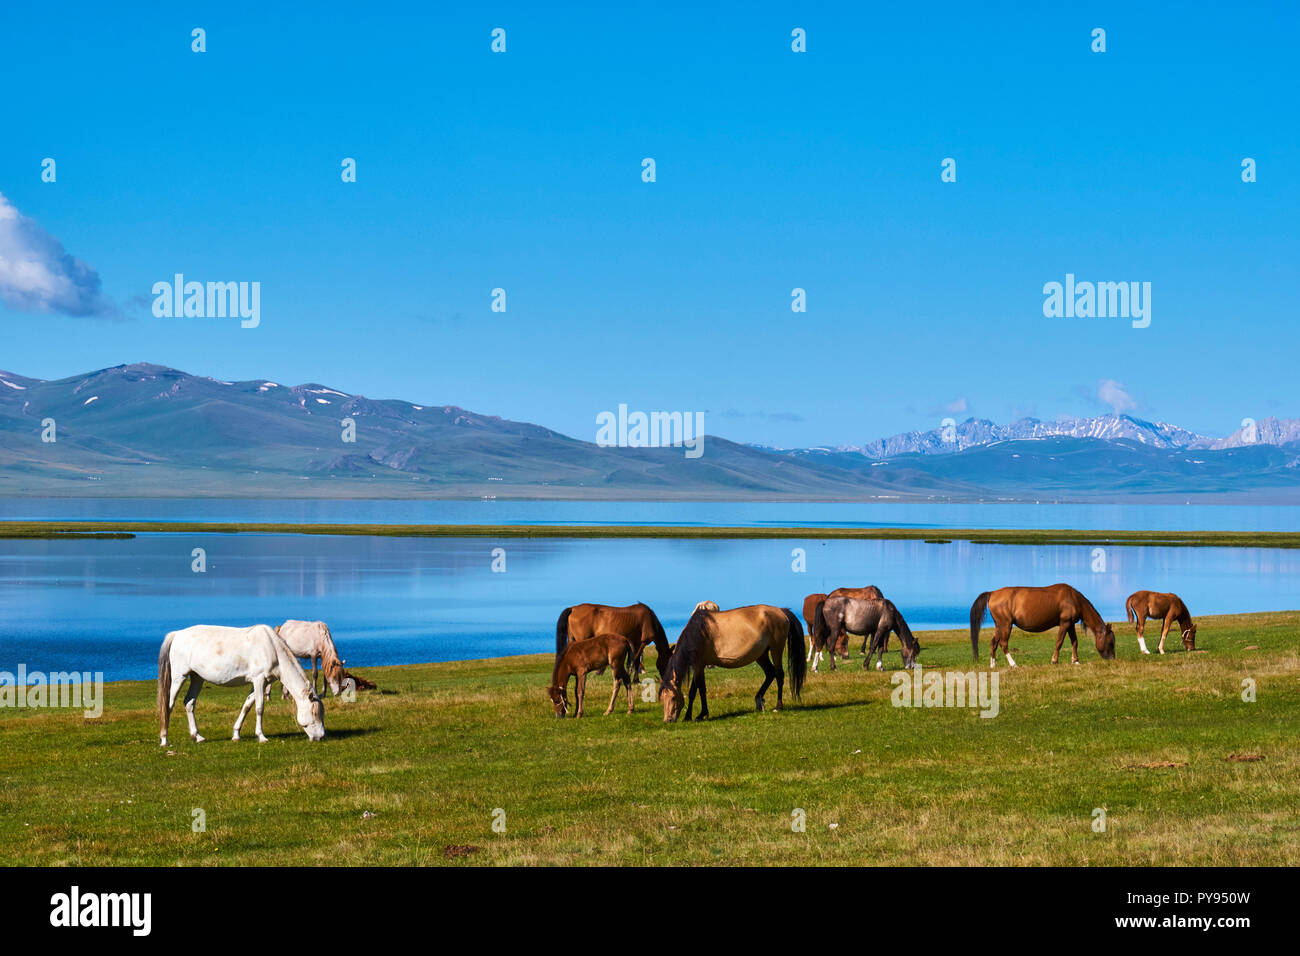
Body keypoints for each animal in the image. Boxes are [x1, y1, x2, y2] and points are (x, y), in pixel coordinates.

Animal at [156, 624, 325, 749]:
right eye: (315, 714)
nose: (321, 737)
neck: (271, 648)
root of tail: (177, 634)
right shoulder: (259, 680)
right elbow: (259, 707)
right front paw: (261, 736)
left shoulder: (262, 682)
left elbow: (247, 705)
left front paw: (236, 734)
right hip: (179, 677)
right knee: (168, 705)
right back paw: (164, 739)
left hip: (197, 678)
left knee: (189, 703)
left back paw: (197, 736)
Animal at [660, 606, 800, 723]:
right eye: (662, 698)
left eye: (673, 698)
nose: (667, 720)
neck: (697, 632)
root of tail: (781, 611)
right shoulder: (700, 665)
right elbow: (697, 690)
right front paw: (694, 715)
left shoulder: (699, 665)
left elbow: (697, 691)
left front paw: (697, 715)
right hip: (761, 655)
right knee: (770, 673)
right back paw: (759, 700)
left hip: (776, 649)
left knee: (779, 675)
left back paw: (778, 706)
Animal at [967, 580, 1118, 671]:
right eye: (1110, 642)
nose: (1112, 659)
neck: (1073, 599)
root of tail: (992, 593)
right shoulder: (1064, 623)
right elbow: (1059, 642)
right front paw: (1054, 661)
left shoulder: (1070, 625)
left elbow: (1075, 642)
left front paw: (1075, 661)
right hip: (1006, 625)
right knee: (1003, 643)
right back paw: (1013, 664)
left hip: (999, 626)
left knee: (994, 643)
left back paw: (993, 665)